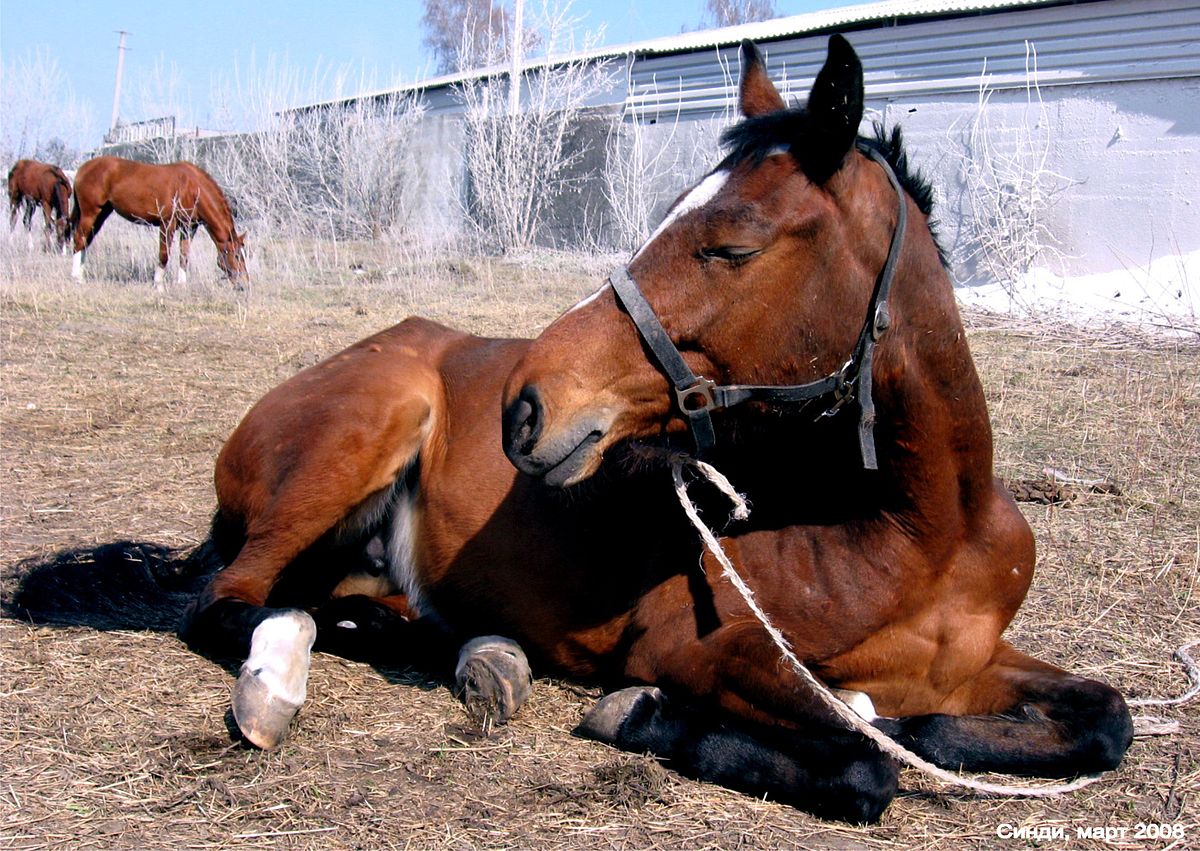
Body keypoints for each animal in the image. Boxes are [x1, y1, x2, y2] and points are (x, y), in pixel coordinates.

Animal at [69, 159, 246, 289]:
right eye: (237, 255)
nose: (244, 284)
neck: (191, 188)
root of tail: (83, 168)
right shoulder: (167, 224)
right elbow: (164, 254)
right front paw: (159, 283)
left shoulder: (189, 228)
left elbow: (184, 255)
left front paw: (181, 284)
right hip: (90, 212)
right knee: (79, 239)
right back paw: (76, 278)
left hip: (101, 213)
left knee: (85, 241)